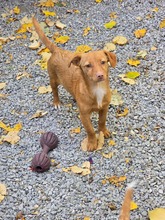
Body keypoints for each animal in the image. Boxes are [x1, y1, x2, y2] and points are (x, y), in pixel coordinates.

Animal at [32, 17, 116, 151]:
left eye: (103, 62)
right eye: (88, 66)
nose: (100, 75)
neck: (97, 89)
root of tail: (57, 50)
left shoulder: (104, 108)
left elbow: (102, 122)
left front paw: (103, 132)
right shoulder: (84, 115)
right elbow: (90, 130)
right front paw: (92, 143)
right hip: (53, 79)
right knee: (54, 91)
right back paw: (56, 102)